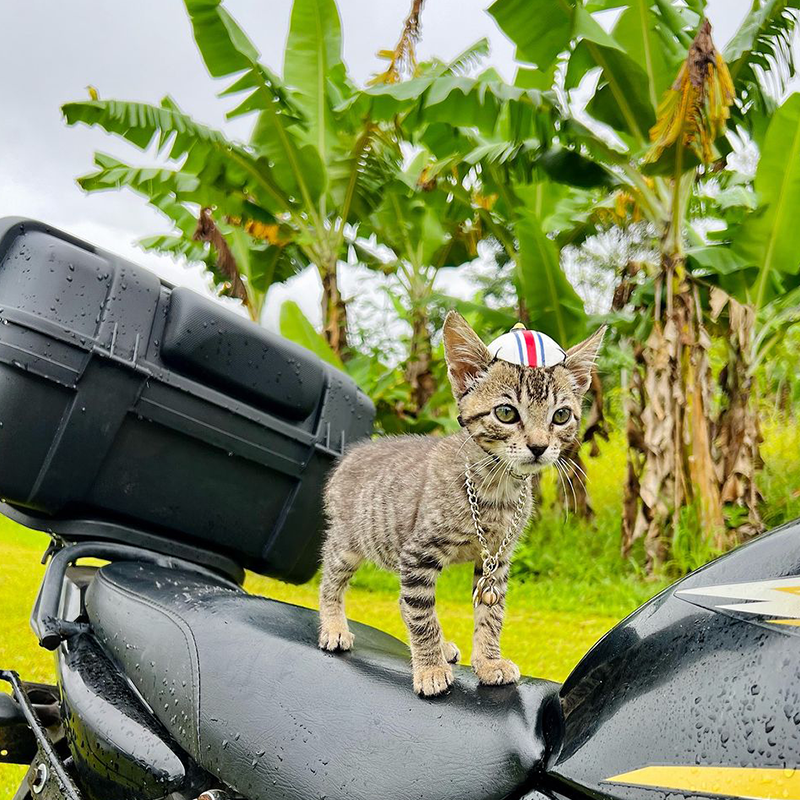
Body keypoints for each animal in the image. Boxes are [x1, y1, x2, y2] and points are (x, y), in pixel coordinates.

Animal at [316, 310, 604, 696]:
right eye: (506, 413)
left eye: (561, 416)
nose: (539, 446)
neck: (498, 490)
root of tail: (355, 451)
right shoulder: (418, 554)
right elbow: (422, 617)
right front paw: (429, 668)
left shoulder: (497, 560)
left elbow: (490, 614)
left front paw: (488, 661)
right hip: (349, 541)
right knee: (332, 578)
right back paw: (334, 627)